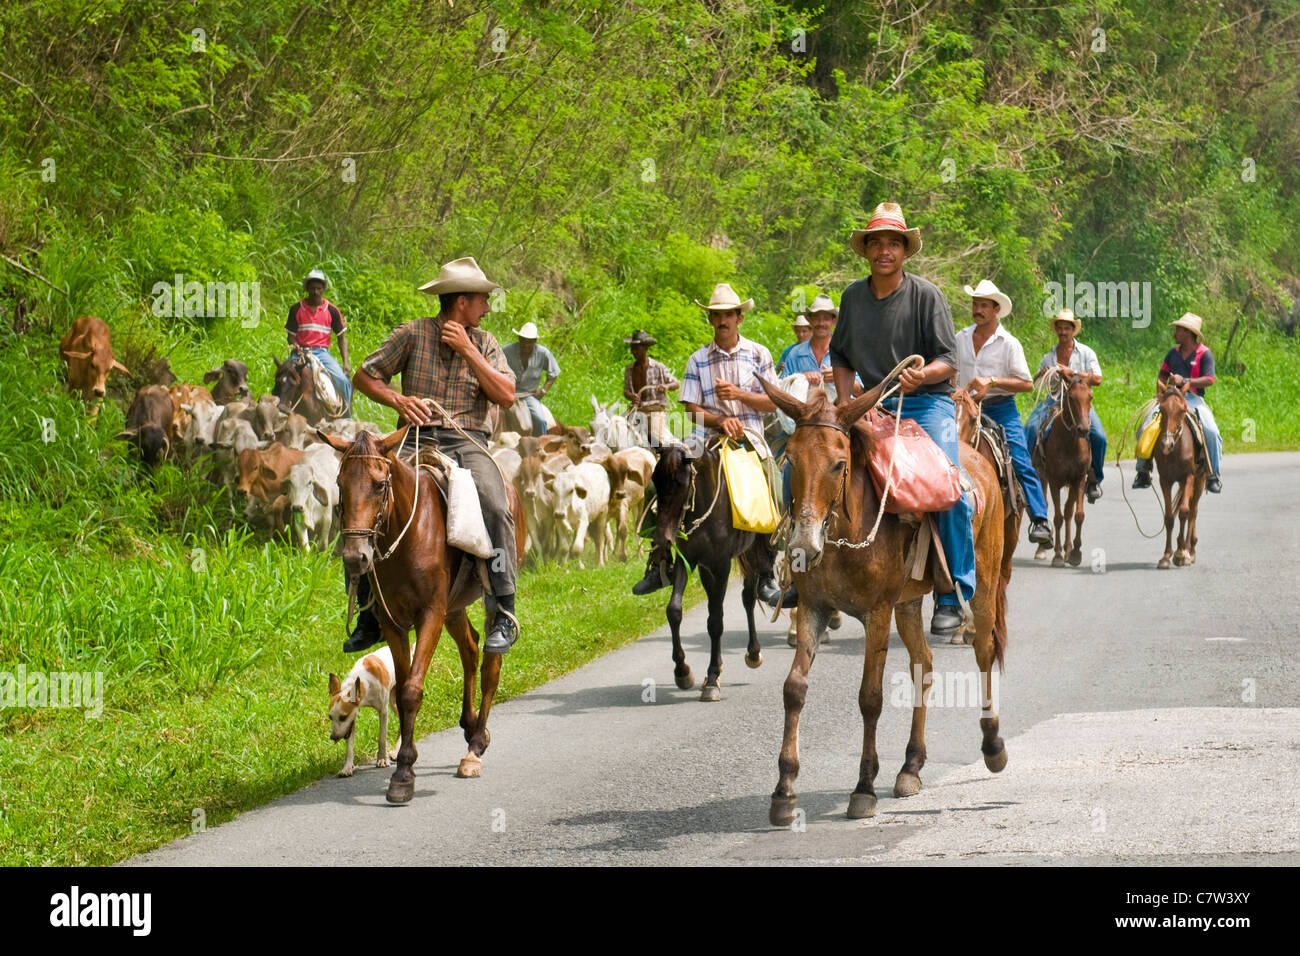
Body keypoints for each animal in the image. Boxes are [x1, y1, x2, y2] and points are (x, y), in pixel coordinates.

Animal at [322, 426, 525, 801]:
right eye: (341, 483)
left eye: (379, 484)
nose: (356, 557)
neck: (410, 534)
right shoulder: (393, 622)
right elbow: (402, 690)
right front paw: (403, 760)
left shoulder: (430, 615)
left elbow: (411, 690)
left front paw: (403, 773)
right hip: (454, 607)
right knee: (470, 647)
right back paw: (470, 727)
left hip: (486, 597)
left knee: (491, 661)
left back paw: (475, 746)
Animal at [642, 442, 764, 702]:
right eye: (655, 480)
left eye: (681, 482)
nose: (662, 538)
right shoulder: (688, 559)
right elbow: (674, 610)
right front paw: (682, 671)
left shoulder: (721, 564)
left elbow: (716, 621)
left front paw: (712, 678)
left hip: (752, 550)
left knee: (749, 596)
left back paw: (754, 652)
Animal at [759, 377, 1008, 827]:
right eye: (791, 459)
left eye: (838, 464)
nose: (803, 546)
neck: (842, 535)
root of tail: (978, 463)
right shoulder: (813, 607)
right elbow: (794, 688)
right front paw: (784, 790)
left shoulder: (876, 613)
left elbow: (870, 698)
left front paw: (863, 788)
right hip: (907, 603)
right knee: (923, 663)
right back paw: (911, 765)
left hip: (982, 583)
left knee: (984, 651)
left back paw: (993, 745)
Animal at [1029, 371, 1092, 567]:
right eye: (1071, 397)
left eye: (1090, 396)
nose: (1084, 429)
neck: (1069, 443)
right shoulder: (1055, 481)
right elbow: (1057, 518)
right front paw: (1057, 555)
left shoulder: (1079, 479)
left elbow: (1078, 515)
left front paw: (1075, 553)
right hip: (1042, 476)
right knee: (1047, 505)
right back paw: (1042, 549)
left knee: (1068, 512)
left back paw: (1068, 549)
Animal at [1154, 385, 1211, 572]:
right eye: (1162, 409)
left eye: (1181, 410)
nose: (1166, 444)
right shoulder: (1165, 480)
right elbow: (1169, 517)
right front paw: (1166, 556)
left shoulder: (1189, 477)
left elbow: (1184, 512)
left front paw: (1181, 553)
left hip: (1199, 480)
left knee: (1193, 511)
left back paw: (1190, 550)